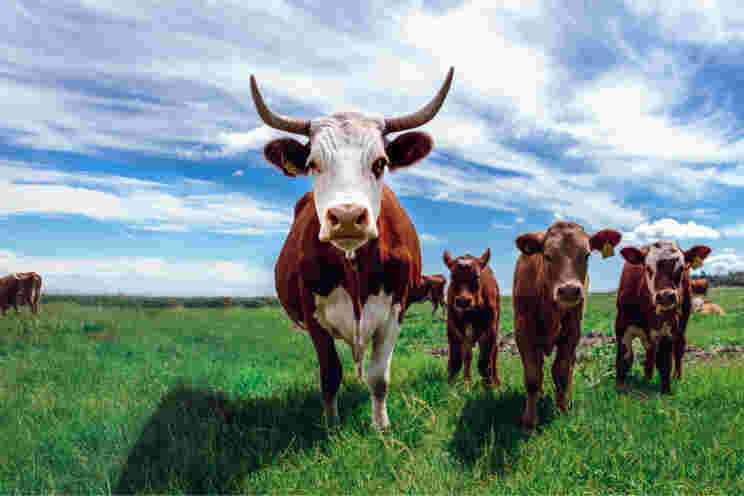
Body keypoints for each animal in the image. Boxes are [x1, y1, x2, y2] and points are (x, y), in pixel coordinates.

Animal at [250, 67, 454, 430]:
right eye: (313, 164)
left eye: (380, 162)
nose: (346, 217)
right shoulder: (313, 316)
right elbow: (330, 374)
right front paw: (331, 425)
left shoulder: (395, 311)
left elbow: (379, 377)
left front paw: (381, 425)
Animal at [443, 248, 500, 387]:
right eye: (453, 276)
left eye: (477, 276)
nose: (463, 301)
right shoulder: (453, 325)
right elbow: (457, 358)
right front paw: (451, 383)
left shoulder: (490, 328)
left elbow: (485, 361)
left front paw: (489, 385)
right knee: (467, 353)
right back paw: (466, 381)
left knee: (494, 352)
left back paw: (495, 380)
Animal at [513, 221, 622, 429]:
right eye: (547, 255)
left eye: (587, 255)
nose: (570, 290)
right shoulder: (523, 332)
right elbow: (532, 376)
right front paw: (529, 421)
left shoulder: (572, 332)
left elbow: (562, 372)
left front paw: (562, 411)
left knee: (568, 367)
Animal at [615, 241, 711, 394]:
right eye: (648, 268)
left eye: (681, 268)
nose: (665, 296)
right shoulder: (621, 326)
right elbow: (624, 359)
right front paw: (619, 387)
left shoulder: (668, 327)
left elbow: (664, 362)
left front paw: (666, 390)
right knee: (650, 352)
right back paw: (647, 377)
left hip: (682, 321)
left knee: (678, 347)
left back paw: (677, 377)